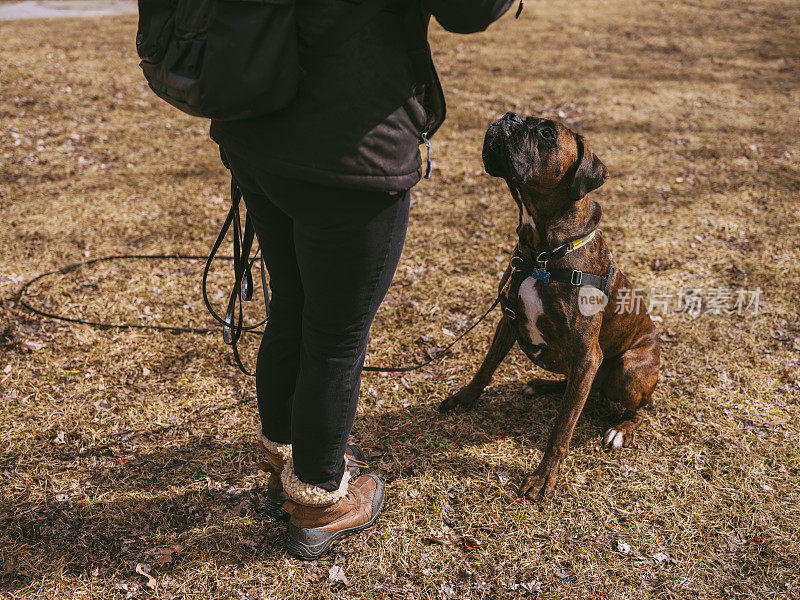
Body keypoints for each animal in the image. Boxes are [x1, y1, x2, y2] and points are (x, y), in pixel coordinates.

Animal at [440, 112, 660, 502]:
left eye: (545, 133)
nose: (509, 116)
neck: (542, 252)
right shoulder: (507, 321)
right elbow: (485, 367)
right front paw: (464, 398)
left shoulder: (587, 353)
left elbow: (562, 428)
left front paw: (544, 477)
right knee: (579, 387)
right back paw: (542, 385)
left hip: (628, 369)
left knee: (636, 408)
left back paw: (621, 429)